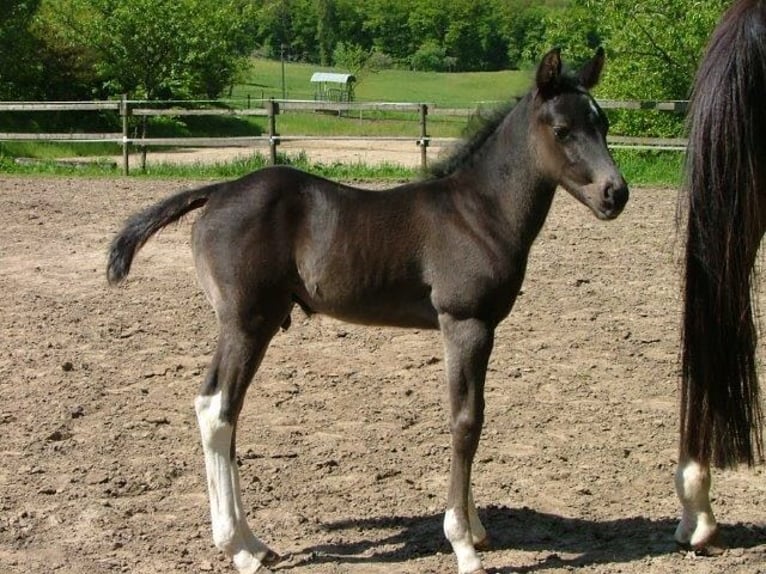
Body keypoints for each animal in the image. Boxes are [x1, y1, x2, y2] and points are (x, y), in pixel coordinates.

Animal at [107, 47, 628, 574]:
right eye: (562, 129)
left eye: (603, 124)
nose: (616, 193)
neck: (478, 212)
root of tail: (217, 190)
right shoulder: (465, 323)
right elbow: (465, 421)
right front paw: (462, 543)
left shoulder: (481, 329)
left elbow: (473, 417)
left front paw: (478, 529)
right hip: (247, 323)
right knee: (218, 410)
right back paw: (239, 547)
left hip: (250, 325)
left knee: (225, 409)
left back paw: (254, 543)